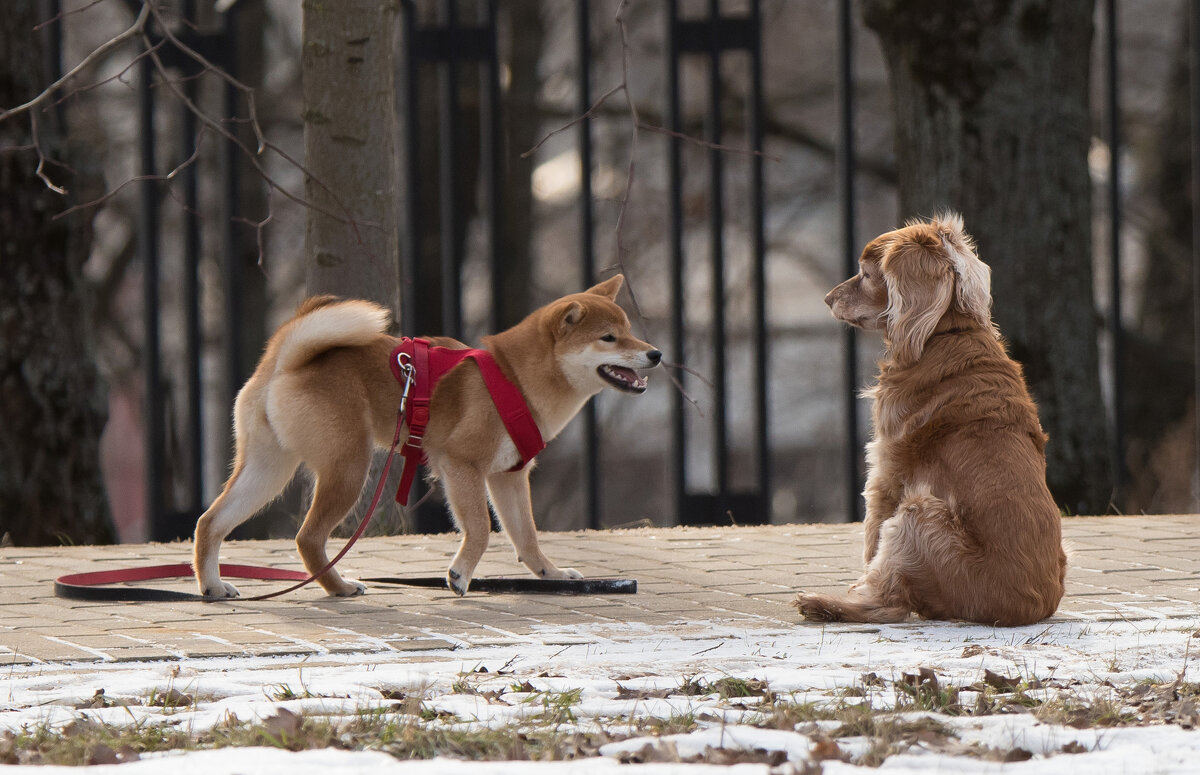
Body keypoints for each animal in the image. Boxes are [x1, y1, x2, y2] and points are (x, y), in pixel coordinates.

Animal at [192, 274, 662, 602]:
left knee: (210, 522)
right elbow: (480, 530)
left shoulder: (508, 477)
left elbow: (527, 538)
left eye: (630, 330)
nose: (656, 353)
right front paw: (459, 575)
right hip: (349, 468)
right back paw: (339, 587)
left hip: (267, 472)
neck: (516, 377)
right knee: (307, 538)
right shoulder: (460, 464)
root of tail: (285, 359)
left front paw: (554, 575)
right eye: (609, 338)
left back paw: (214, 586)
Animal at [796, 215, 1070, 628]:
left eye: (865, 273)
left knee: (891, 603)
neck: (946, 333)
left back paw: (824, 604)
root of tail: (1029, 610)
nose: (828, 299)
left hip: (918, 513)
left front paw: (858, 585)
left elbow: (871, 541)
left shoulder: (885, 470)